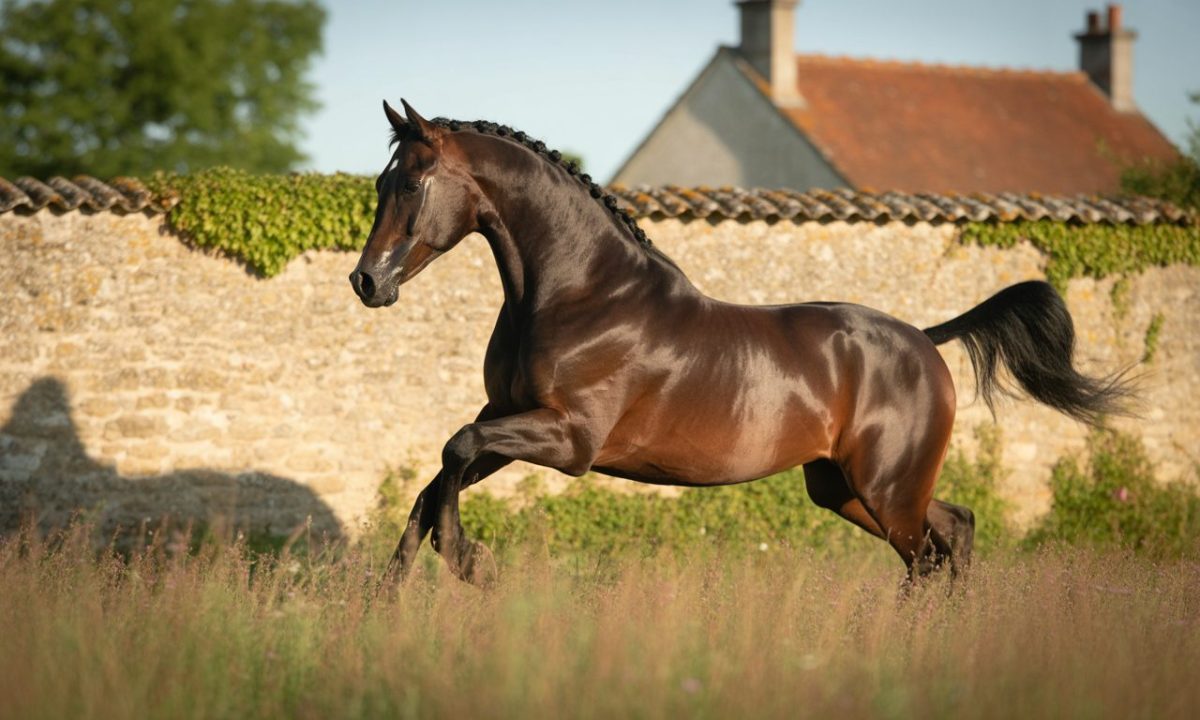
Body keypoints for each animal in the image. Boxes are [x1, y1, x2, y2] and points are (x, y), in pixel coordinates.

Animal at [349, 100, 1131, 587]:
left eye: (413, 183)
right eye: (383, 181)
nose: (367, 281)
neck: (582, 294)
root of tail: (923, 341)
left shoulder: (569, 440)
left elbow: (453, 452)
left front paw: (471, 564)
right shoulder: (507, 419)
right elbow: (435, 480)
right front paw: (388, 598)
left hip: (886, 488)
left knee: (926, 556)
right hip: (847, 489)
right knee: (954, 533)